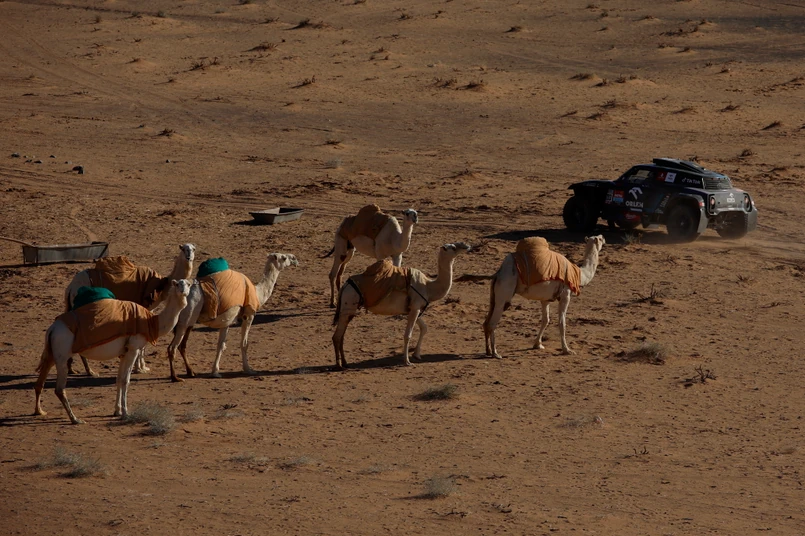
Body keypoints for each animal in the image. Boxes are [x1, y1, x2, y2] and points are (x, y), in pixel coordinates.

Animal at [34, 279, 191, 424]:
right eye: (178, 284)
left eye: (189, 284)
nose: (183, 291)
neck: (152, 322)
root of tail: (52, 329)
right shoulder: (133, 349)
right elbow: (126, 380)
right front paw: (126, 413)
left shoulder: (124, 352)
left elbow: (118, 379)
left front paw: (117, 411)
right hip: (62, 353)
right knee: (59, 389)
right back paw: (75, 419)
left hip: (52, 353)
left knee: (40, 381)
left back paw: (39, 411)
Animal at [63, 243, 196, 376]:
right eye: (184, 249)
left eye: (193, 249)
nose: (189, 257)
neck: (163, 285)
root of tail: (71, 287)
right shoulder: (146, 305)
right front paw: (140, 368)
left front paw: (142, 367)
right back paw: (90, 371)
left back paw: (72, 369)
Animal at [166, 253, 299, 381]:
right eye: (284, 257)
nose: (295, 259)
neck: (257, 292)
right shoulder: (248, 315)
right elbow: (244, 344)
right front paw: (248, 369)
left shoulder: (227, 320)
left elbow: (221, 345)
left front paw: (215, 372)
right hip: (185, 319)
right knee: (172, 347)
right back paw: (175, 377)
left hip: (189, 321)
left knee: (182, 346)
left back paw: (191, 372)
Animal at [332, 242, 471, 369]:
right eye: (453, 247)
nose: (467, 246)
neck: (428, 286)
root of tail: (345, 285)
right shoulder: (415, 308)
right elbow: (407, 335)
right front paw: (407, 361)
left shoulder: (412, 309)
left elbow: (424, 328)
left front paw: (417, 355)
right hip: (349, 304)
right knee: (337, 336)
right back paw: (339, 365)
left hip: (349, 309)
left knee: (342, 335)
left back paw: (345, 363)